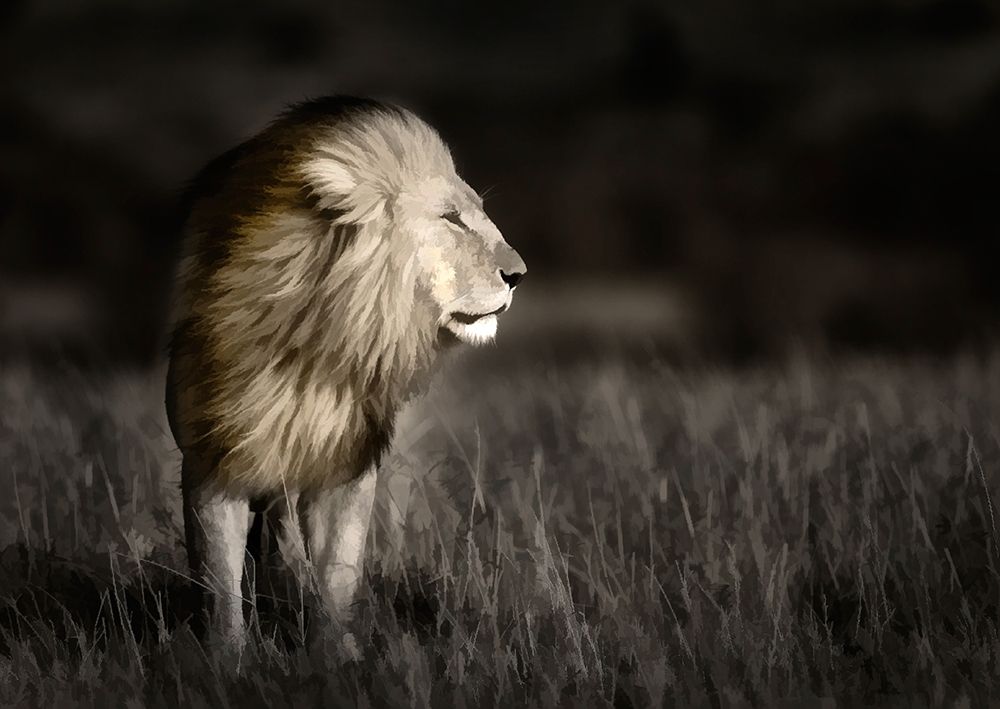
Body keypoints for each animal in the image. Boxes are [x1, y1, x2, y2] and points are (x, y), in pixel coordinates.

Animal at [165, 96, 525, 644]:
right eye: (451, 219)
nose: (519, 274)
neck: (319, 342)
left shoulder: (348, 462)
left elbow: (337, 576)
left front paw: (337, 656)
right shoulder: (213, 462)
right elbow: (220, 588)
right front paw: (227, 659)